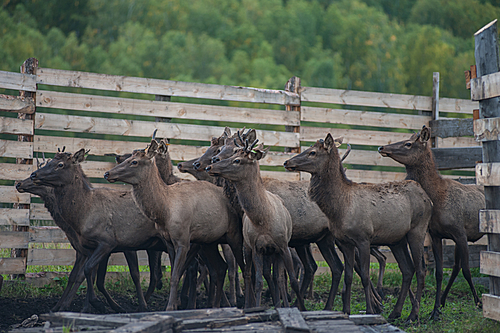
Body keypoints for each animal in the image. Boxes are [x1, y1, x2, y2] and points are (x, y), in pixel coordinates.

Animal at [28, 148, 174, 312]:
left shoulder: (108, 242)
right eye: (51, 160)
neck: (84, 213)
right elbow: (89, 274)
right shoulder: (91, 247)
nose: (33, 175)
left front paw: (97, 304)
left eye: (60, 164)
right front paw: (88, 307)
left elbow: (89, 271)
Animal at [104, 139, 246, 310]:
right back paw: (216, 305)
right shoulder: (169, 242)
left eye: (134, 161)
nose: (107, 173)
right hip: (209, 241)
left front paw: (171, 306)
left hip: (234, 235)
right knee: (220, 267)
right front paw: (175, 304)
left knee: (243, 267)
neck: (165, 210)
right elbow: (174, 274)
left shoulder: (183, 240)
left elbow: (176, 275)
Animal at [205, 139, 306, 310]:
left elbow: (292, 279)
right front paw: (258, 307)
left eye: (237, 160)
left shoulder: (283, 245)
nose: (209, 166)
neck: (263, 220)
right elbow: (258, 281)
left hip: (275, 252)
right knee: (248, 273)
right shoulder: (257, 247)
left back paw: (282, 303)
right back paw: (248, 304)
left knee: (278, 277)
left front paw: (300, 307)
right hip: (247, 246)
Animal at [284, 133, 432, 322]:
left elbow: (365, 276)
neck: (340, 208)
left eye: (313, 152)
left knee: (421, 270)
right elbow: (348, 276)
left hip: (418, 230)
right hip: (396, 240)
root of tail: (428, 198)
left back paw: (413, 315)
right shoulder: (344, 242)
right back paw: (395, 312)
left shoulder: (364, 238)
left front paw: (370, 310)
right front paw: (346, 310)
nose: (287, 162)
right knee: (407, 269)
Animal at [376, 125, 486, 320]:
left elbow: (466, 270)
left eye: (408, 143)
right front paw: (434, 311)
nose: (382, 147)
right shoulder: (436, 234)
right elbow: (439, 273)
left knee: (460, 267)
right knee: (455, 266)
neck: (437, 197)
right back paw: (442, 301)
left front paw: (478, 302)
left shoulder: (460, 232)